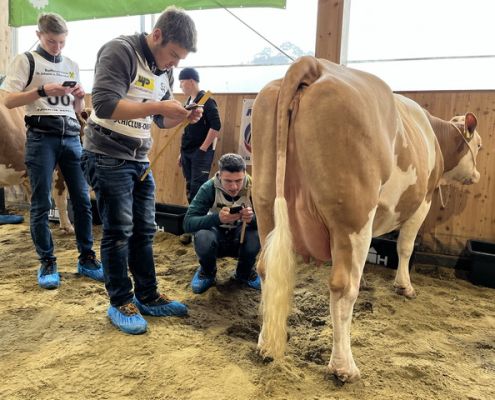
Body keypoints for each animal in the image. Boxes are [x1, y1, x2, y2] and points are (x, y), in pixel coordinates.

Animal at [252, 56, 480, 382]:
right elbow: (405, 247)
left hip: (265, 206)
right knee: (344, 286)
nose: (477, 175)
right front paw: (404, 286)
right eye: (480, 146)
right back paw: (344, 366)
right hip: (354, 216)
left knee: (266, 269)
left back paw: (265, 345)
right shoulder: (422, 202)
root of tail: (314, 65)